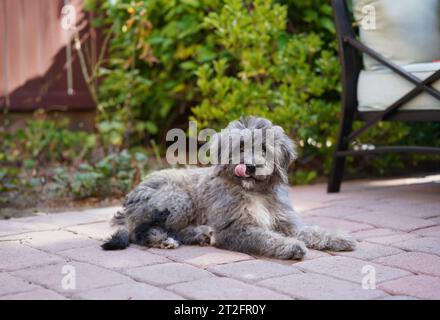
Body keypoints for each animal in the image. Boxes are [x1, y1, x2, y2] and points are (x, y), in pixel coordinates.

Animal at [101, 117, 356, 260]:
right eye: (241, 146)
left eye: (264, 148)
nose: (250, 166)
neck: (254, 191)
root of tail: (129, 200)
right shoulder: (234, 229)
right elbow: (264, 238)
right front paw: (290, 247)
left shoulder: (286, 223)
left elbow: (311, 231)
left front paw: (338, 238)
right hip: (178, 199)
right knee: (139, 231)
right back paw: (163, 240)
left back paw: (200, 234)